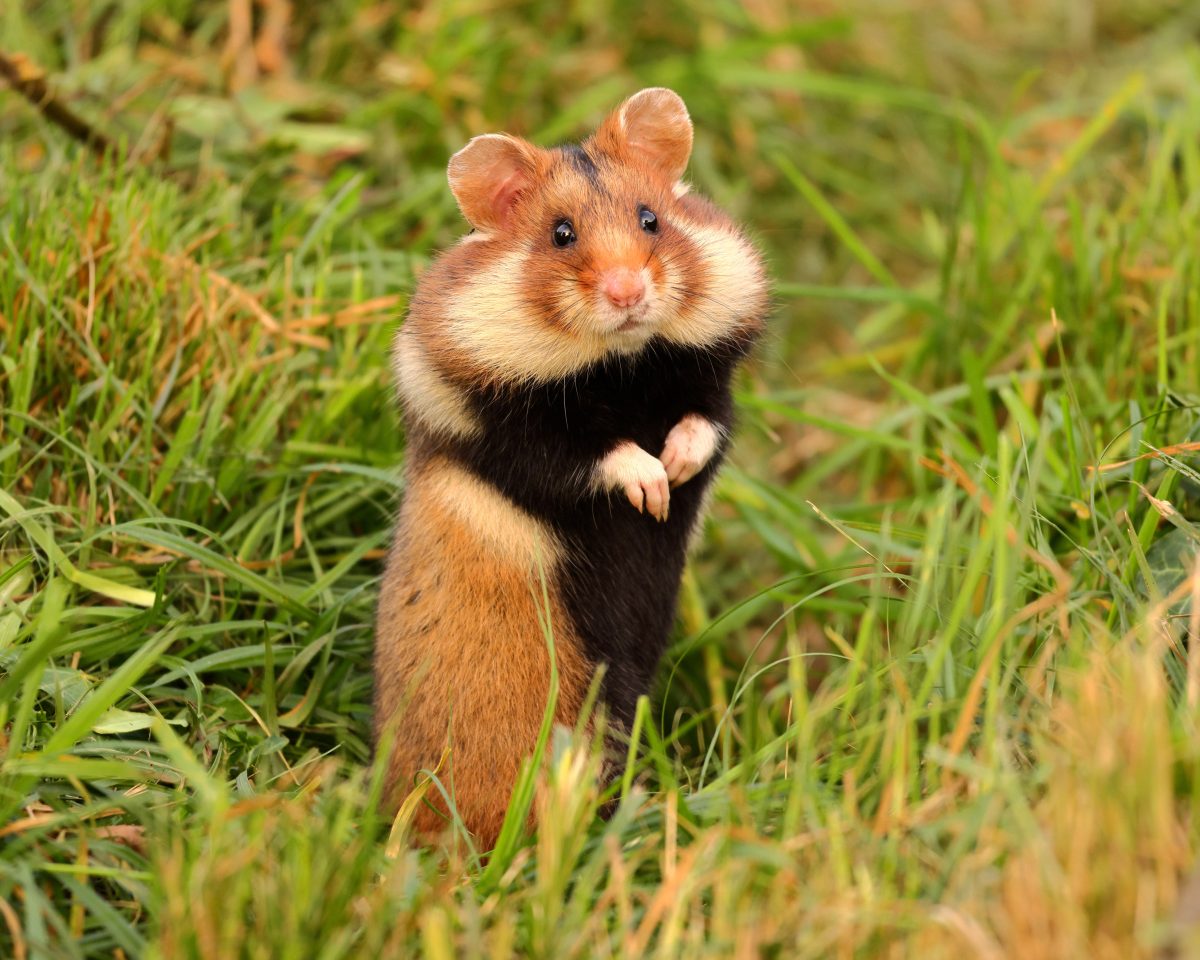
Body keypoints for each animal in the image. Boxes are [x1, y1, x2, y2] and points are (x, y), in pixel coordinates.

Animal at [372, 86, 768, 844]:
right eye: (560, 234)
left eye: (651, 219)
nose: (627, 294)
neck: (623, 364)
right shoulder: (511, 432)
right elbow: (592, 454)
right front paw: (652, 489)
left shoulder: (711, 390)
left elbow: (704, 423)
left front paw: (674, 472)